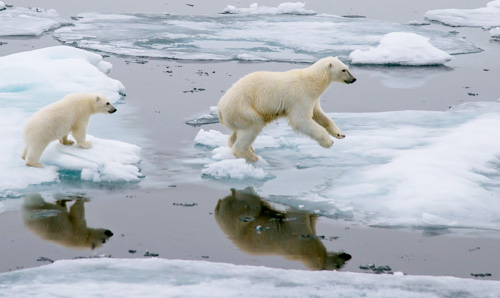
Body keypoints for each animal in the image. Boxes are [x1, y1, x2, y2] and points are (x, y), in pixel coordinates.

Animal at [218, 56, 356, 162]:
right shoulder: (300, 96)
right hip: (243, 108)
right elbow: (300, 120)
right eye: (344, 70)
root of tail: (220, 109)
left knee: (236, 133)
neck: (312, 81)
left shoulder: (313, 99)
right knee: (253, 126)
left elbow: (319, 115)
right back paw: (252, 156)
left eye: (347, 68)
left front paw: (339, 134)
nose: (354, 79)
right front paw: (329, 142)